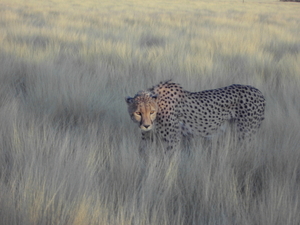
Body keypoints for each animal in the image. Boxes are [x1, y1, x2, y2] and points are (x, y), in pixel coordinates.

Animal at [125, 80, 266, 151]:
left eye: (151, 112)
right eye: (138, 113)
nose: (146, 126)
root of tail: (259, 91)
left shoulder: (173, 140)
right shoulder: (147, 139)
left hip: (246, 134)